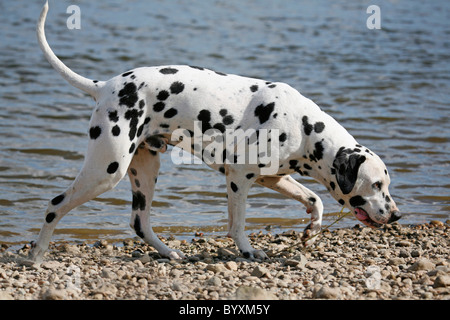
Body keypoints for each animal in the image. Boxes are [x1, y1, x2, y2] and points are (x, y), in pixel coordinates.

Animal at [29, 1, 400, 262]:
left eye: (385, 185)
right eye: (376, 185)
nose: (397, 215)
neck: (304, 126)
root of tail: (105, 86)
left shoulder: (274, 178)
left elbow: (315, 199)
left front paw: (311, 230)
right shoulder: (238, 178)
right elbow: (237, 225)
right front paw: (249, 251)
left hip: (144, 170)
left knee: (139, 223)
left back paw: (169, 252)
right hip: (106, 171)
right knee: (54, 205)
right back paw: (36, 256)